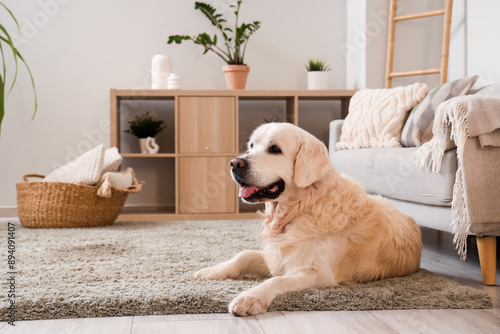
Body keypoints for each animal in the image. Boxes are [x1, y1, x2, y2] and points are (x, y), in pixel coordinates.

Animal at [193, 122, 420, 316]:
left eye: (275, 149)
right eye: (251, 146)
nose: (234, 163)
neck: (301, 208)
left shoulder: (316, 272)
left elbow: (276, 281)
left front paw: (250, 298)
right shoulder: (276, 255)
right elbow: (243, 255)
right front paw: (211, 271)